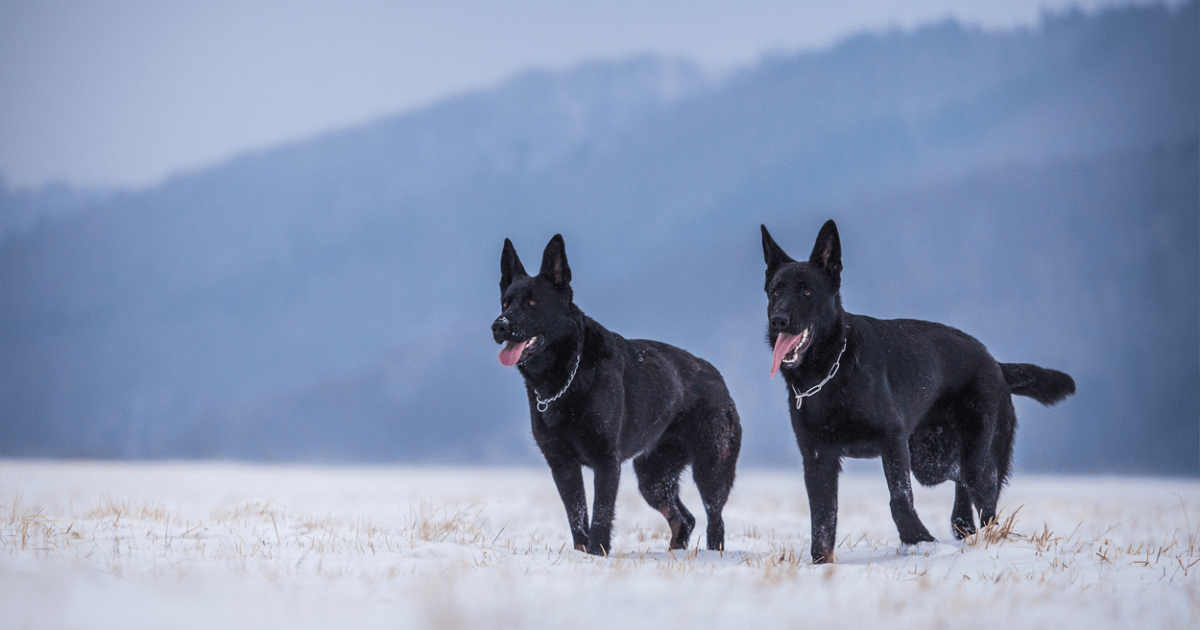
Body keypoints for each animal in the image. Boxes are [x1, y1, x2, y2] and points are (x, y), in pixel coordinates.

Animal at [763, 219, 1075, 559]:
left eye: (807, 291)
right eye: (775, 291)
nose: (778, 320)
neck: (829, 372)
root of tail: (994, 361)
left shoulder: (892, 441)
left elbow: (899, 498)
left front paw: (918, 539)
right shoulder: (818, 458)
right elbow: (821, 517)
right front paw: (821, 562)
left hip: (971, 458)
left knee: (985, 497)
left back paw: (987, 540)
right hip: (931, 460)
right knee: (962, 490)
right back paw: (965, 532)